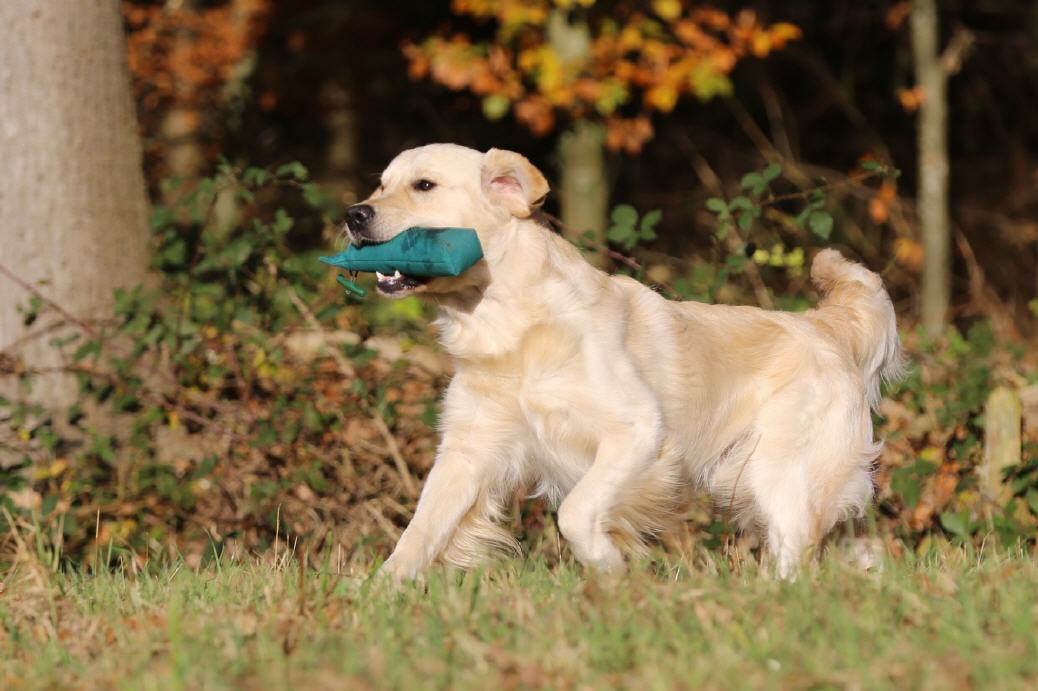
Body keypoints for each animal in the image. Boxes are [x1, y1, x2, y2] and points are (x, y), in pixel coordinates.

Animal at [344, 144, 905, 576]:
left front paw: (608, 567)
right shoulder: (468, 449)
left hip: (776, 470)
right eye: (380, 186)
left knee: (798, 546)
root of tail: (827, 324)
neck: (510, 322)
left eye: (424, 185)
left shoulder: (636, 431)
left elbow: (575, 513)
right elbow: (419, 531)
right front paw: (381, 595)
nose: (353, 215)